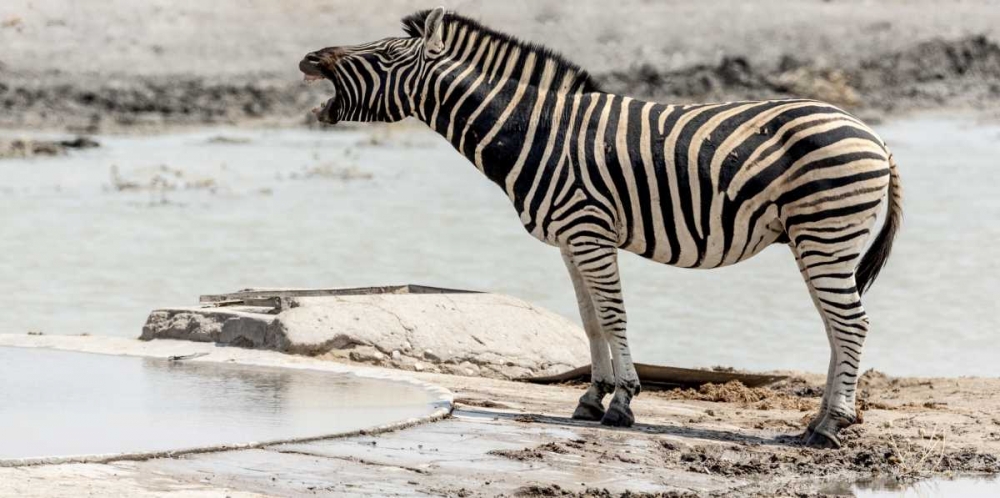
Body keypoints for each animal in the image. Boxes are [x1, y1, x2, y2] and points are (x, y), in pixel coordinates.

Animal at [299, 7, 903, 448]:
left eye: (380, 54)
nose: (308, 57)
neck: (534, 130)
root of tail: (874, 135)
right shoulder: (571, 239)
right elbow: (590, 321)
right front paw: (592, 399)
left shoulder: (589, 231)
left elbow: (613, 315)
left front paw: (623, 402)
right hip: (817, 239)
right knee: (837, 325)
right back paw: (820, 420)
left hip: (825, 234)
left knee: (851, 324)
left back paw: (830, 426)